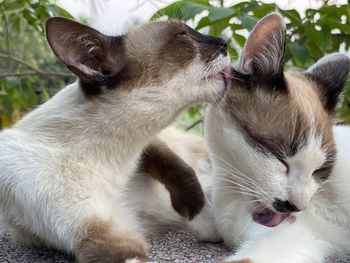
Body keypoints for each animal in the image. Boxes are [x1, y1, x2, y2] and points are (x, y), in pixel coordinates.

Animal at [0, 17, 230, 262]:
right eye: (182, 36)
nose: (224, 42)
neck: (115, 160)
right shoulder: (106, 236)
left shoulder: (148, 145)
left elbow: (182, 172)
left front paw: (206, 225)